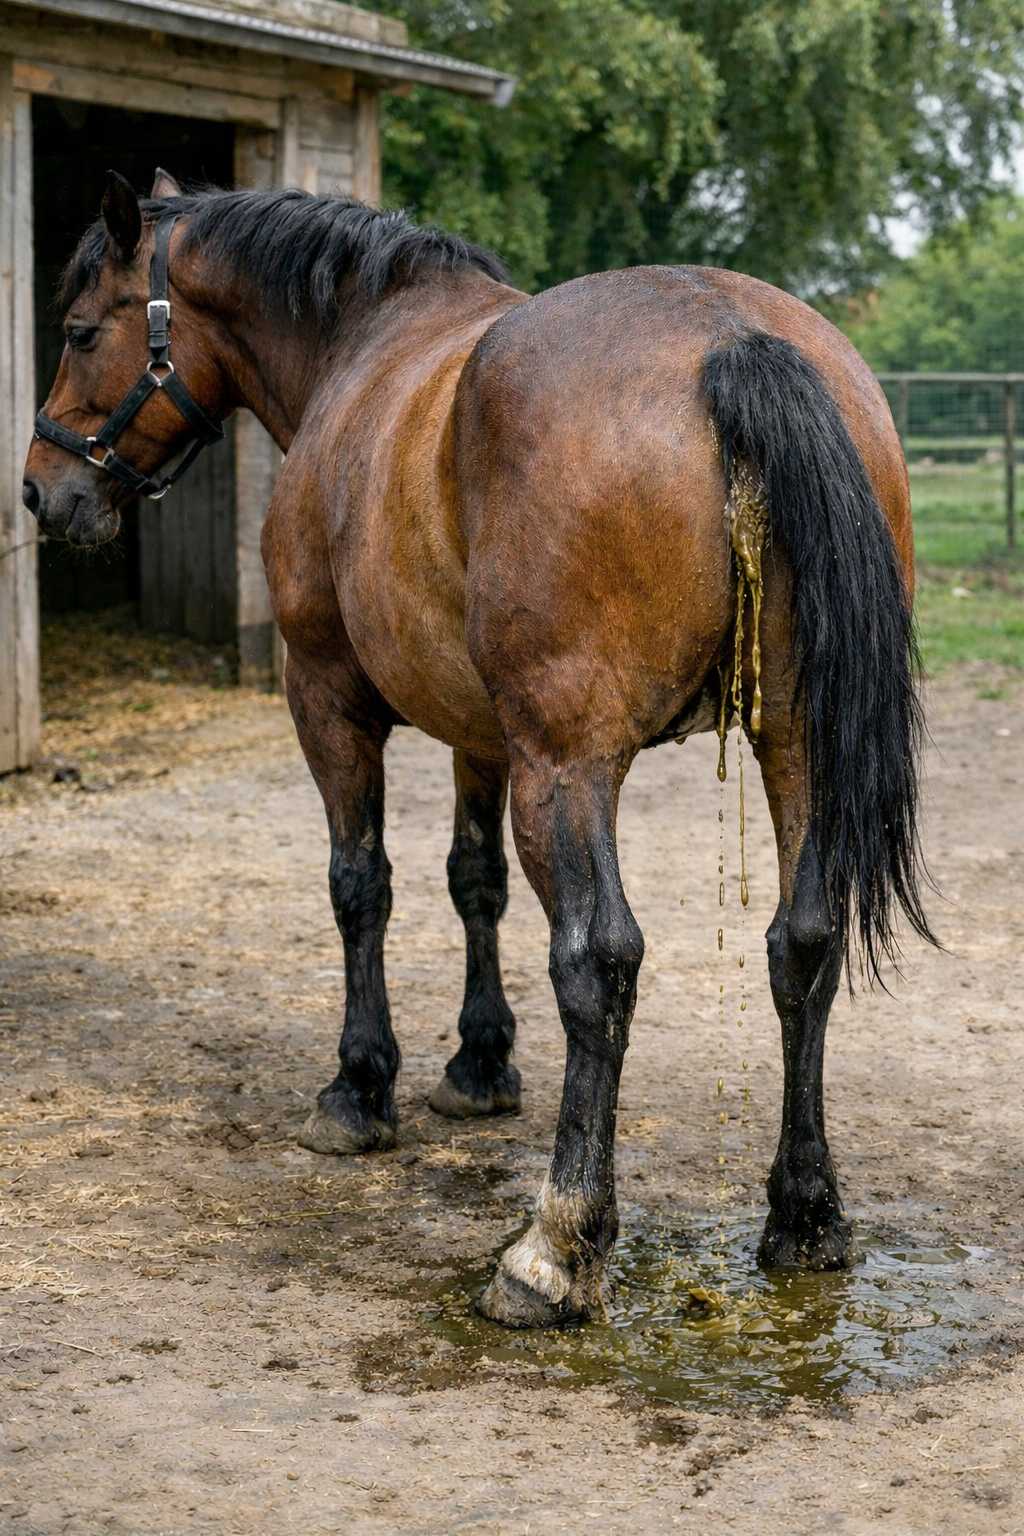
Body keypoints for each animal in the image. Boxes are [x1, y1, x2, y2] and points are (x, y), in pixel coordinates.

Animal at [23, 169, 935, 1328]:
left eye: (79, 329)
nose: (41, 487)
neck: (361, 344)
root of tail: (734, 341)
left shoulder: (327, 700)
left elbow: (360, 885)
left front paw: (360, 1086)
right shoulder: (481, 736)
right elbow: (474, 883)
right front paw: (479, 1062)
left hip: (572, 770)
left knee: (599, 961)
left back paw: (553, 1246)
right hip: (794, 751)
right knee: (803, 944)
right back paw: (804, 1214)